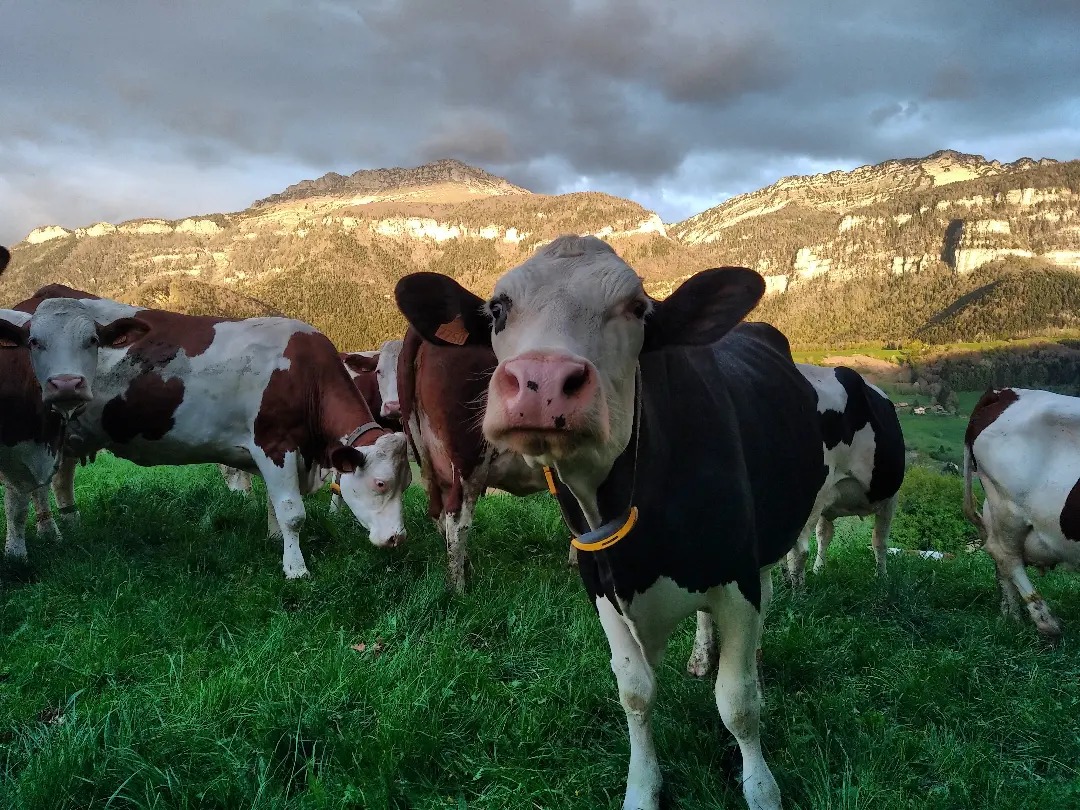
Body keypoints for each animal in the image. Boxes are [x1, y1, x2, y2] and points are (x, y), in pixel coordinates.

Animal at [0, 295, 412, 578]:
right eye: (380, 483)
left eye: (406, 484)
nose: (398, 538)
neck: (302, 372)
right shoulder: (275, 444)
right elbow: (292, 512)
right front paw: (296, 569)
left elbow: (273, 504)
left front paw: (274, 540)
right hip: (25, 434)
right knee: (20, 493)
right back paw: (23, 550)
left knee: (56, 482)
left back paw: (62, 529)